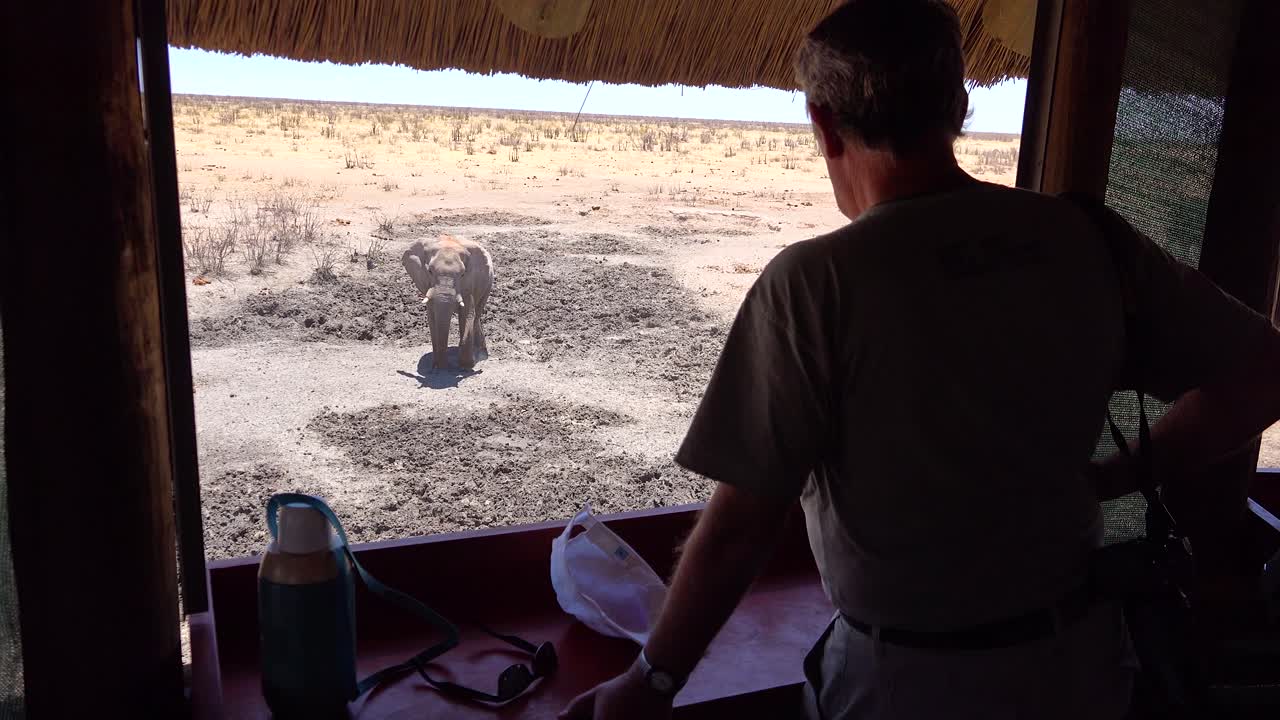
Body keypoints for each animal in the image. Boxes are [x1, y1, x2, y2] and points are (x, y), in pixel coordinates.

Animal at [401, 235, 493, 370]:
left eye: (462, 274)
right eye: (430, 271)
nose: (445, 365)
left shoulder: (469, 282)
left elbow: (466, 312)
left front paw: (465, 366)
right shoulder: (427, 285)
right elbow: (432, 315)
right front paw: (438, 366)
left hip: (488, 284)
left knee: (477, 314)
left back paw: (479, 354)